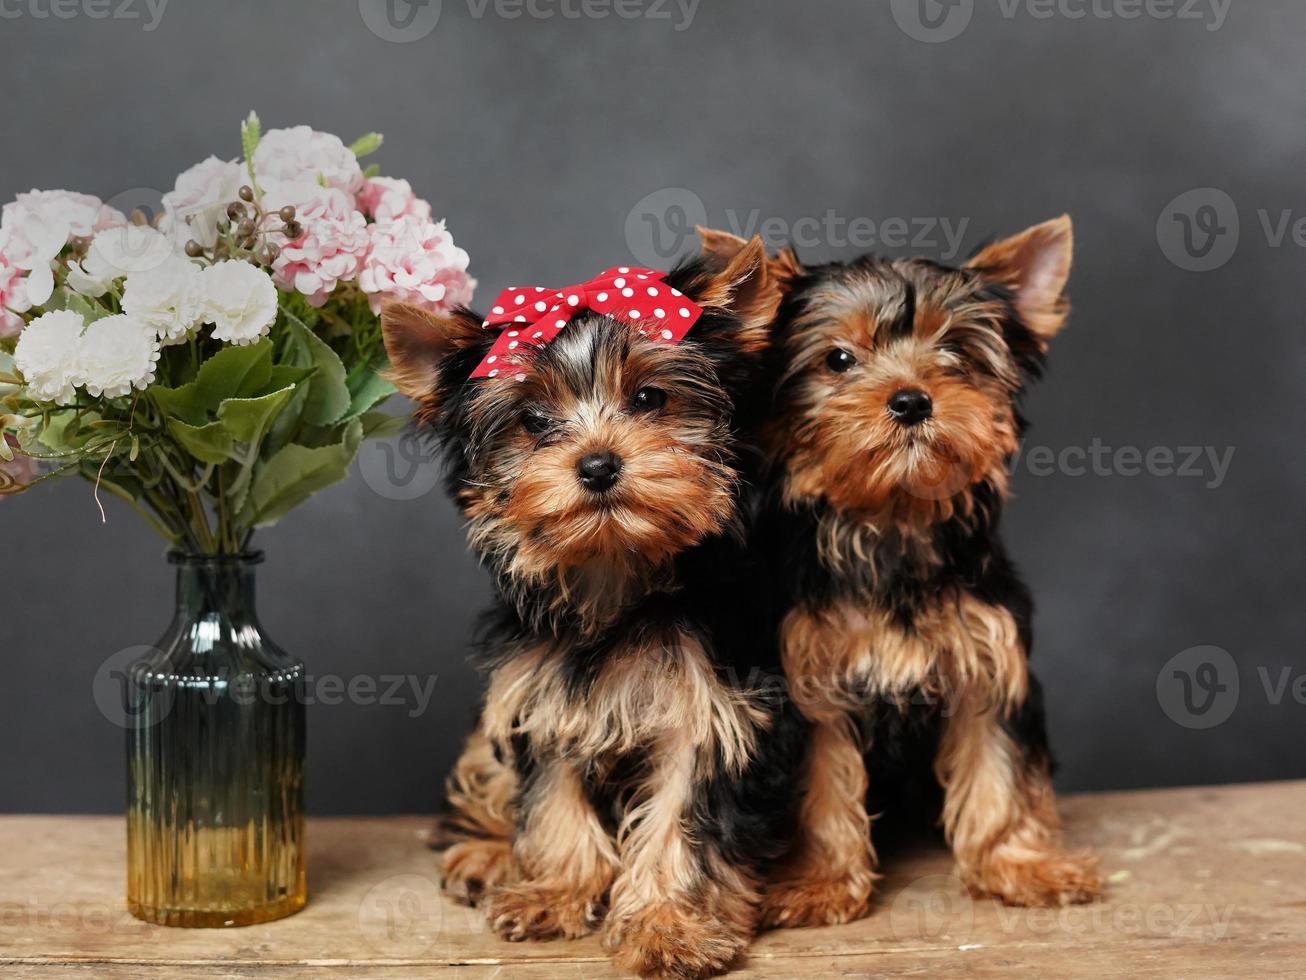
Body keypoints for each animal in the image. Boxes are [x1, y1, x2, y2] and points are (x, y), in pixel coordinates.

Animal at [381, 236, 799, 977]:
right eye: (532, 421)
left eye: (650, 397)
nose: (598, 464)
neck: (616, 574)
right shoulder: (542, 697)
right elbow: (553, 797)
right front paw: (555, 892)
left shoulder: (711, 711)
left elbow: (680, 823)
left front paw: (668, 924)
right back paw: (485, 855)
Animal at [705, 216, 1102, 930]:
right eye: (838, 360)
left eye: (956, 352)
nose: (912, 400)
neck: (893, 518)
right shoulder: (810, 675)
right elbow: (822, 780)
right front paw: (822, 881)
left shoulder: (988, 659)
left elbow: (998, 765)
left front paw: (1016, 863)